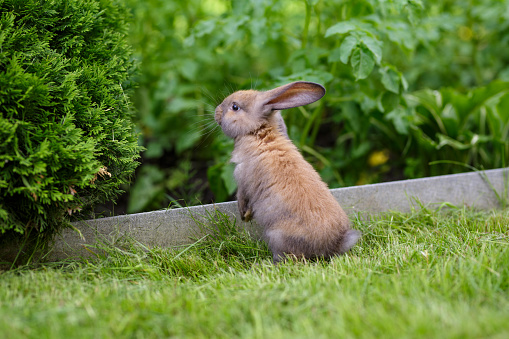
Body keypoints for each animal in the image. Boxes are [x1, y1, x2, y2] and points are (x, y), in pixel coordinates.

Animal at [214, 81, 362, 264]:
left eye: (235, 107)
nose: (217, 111)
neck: (258, 132)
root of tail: (334, 244)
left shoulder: (242, 178)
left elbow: (242, 197)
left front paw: (245, 216)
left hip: (277, 236)